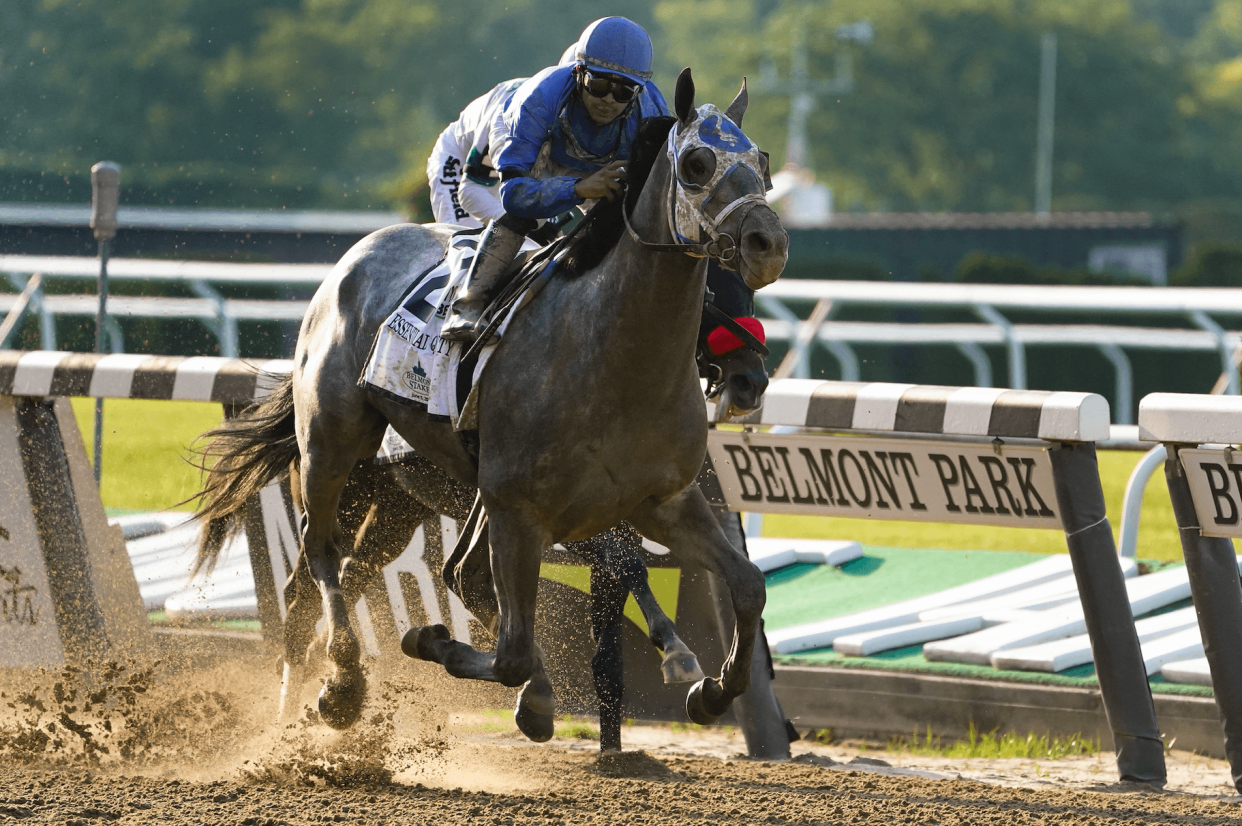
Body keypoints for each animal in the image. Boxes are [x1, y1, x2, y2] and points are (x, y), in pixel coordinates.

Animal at [192, 69, 779, 735]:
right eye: (697, 163)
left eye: (761, 161)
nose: (769, 243)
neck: (612, 360)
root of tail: (352, 259)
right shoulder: (518, 508)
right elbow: (511, 639)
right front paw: (438, 645)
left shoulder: (659, 500)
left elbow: (746, 584)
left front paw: (711, 688)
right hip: (333, 446)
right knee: (321, 554)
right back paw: (339, 685)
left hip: (396, 505)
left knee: (335, 579)